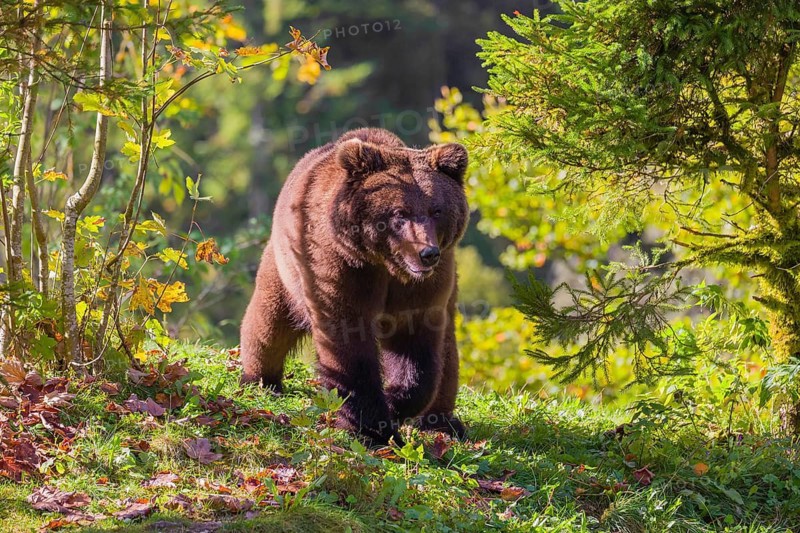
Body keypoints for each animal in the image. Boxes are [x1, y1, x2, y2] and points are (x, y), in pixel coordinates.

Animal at [240, 128, 469, 444]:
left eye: (437, 210)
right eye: (399, 213)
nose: (427, 253)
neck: (386, 263)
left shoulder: (424, 288)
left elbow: (417, 348)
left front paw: (395, 402)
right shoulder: (341, 268)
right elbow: (348, 342)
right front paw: (371, 428)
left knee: (447, 352)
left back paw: (443, 422)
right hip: (285, 268)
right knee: (268, 323)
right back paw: (260, 379)